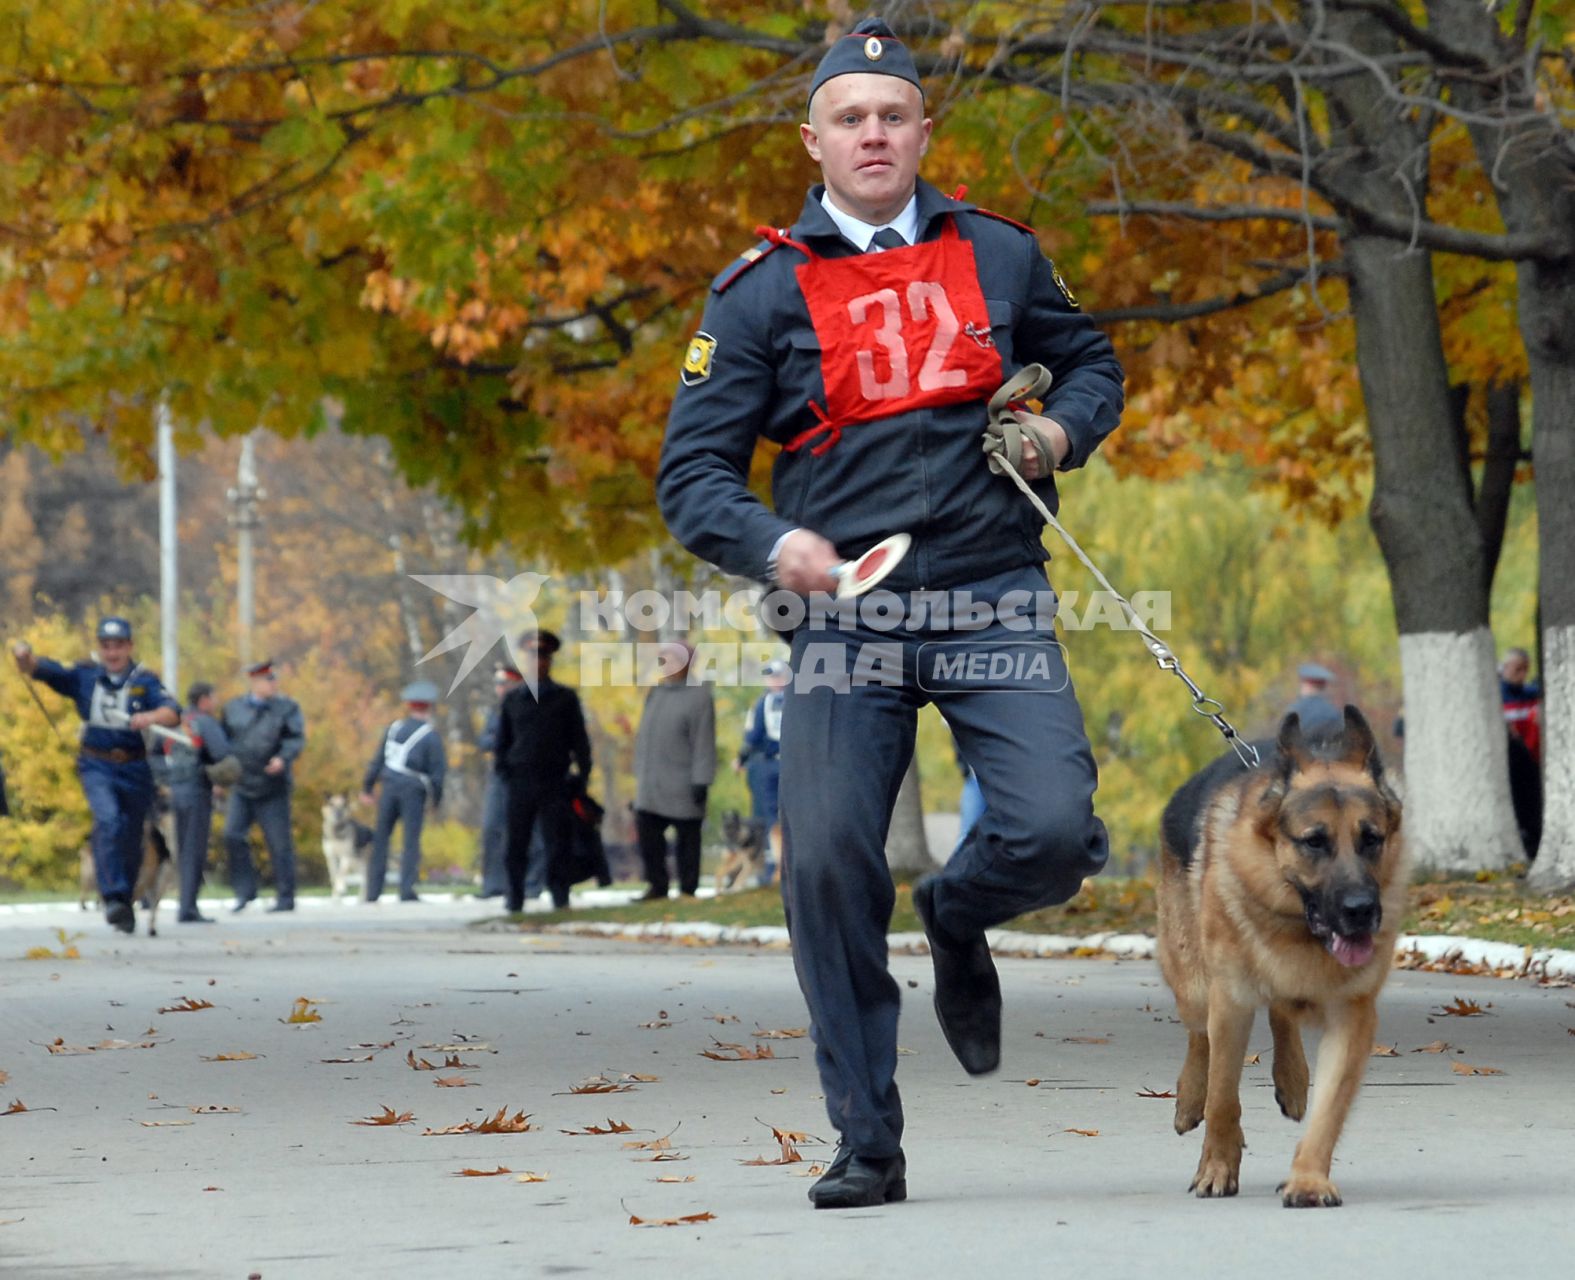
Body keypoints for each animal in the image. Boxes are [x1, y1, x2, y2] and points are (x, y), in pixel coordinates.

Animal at [1159, 705, 1404, 1202]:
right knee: (1198, 1035)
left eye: (1371, 838)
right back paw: (1189, 1099)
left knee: (1279, 1013)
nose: (1361, 911)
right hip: (1194, 981)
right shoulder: (1230, 1003)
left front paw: (1308, 1179)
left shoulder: (1353, 1016)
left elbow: (1329, 1111)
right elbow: (1222, 1097)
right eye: (1314, 841)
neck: (1297, 930)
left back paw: (1292, 1081)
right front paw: (1216, 1168)